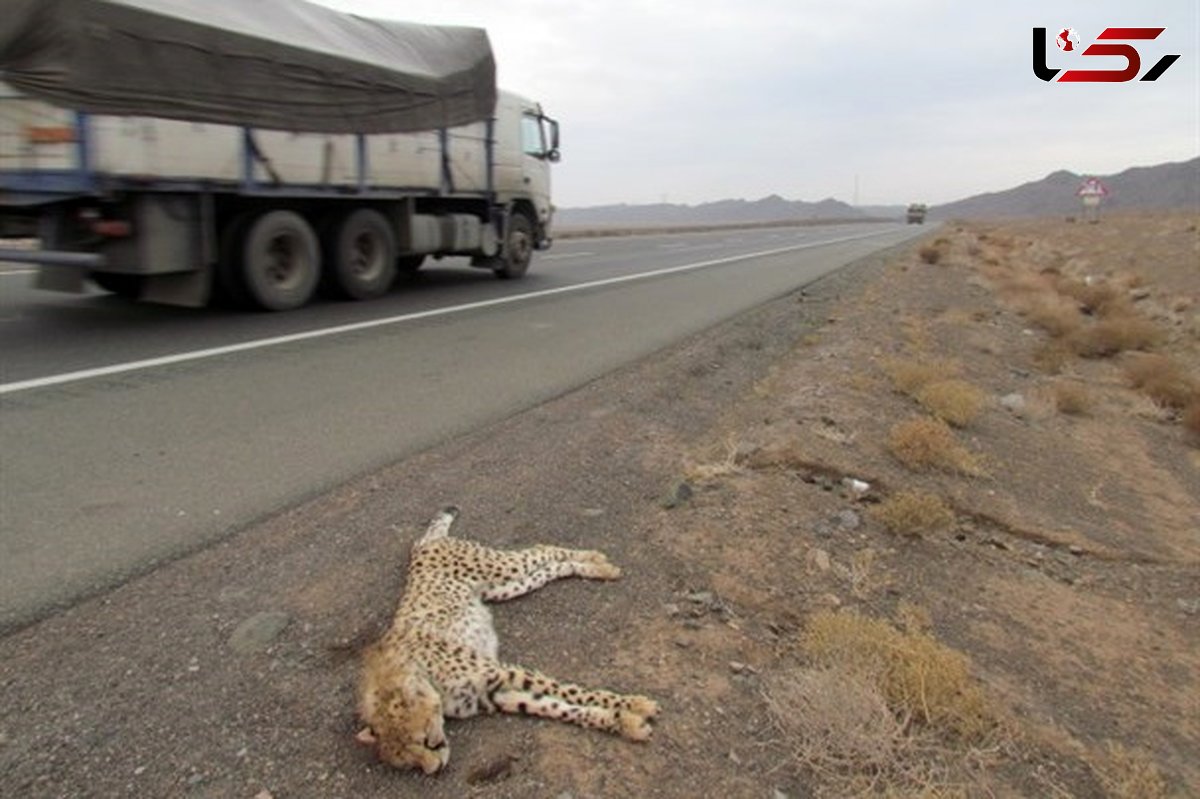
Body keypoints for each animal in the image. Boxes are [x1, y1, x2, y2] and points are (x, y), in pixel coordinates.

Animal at [355, 503, 662, 772]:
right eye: (408, 762)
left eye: (420, 741)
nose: (435, 769)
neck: (422, 677)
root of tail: (422, 545)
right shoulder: (494, 694)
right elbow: (558, 707)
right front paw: (624, 723)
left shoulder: (500, 673)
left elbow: (571, 691)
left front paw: (636, 705)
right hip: (503, 588)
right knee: (549, 568)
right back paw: (596, 567)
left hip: (500, 568)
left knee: (542, 550)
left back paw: (597, 561)